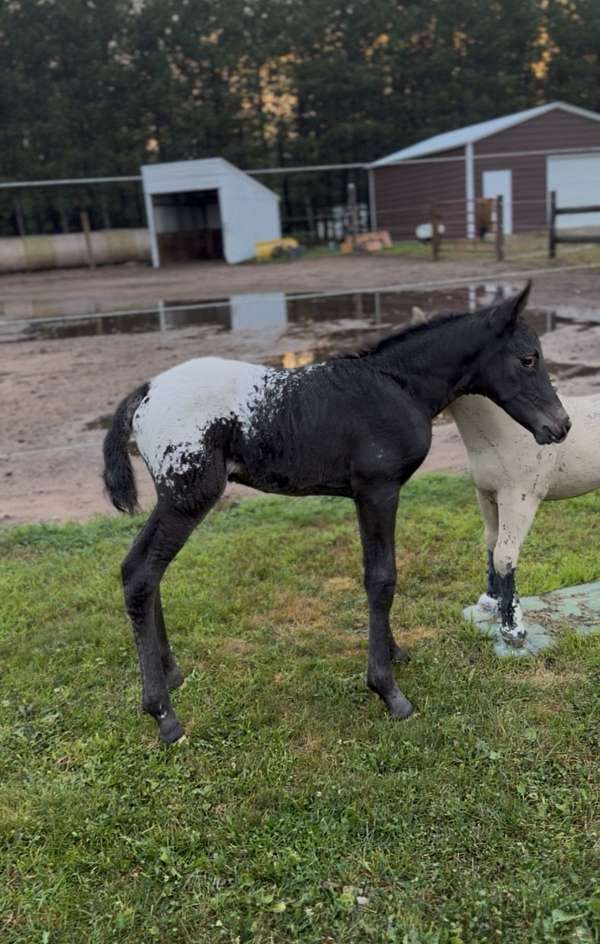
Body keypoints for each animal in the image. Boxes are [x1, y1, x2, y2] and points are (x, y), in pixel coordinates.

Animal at [103, 282, 570, 742]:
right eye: (528, 358)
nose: (561, 425)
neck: (399, 386)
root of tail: (145, 392)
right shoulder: (377, 490)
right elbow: (382, 578)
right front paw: (388, 690)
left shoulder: (367, 495)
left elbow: (376, 573)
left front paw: (394, 652)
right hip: (188, 497)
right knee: (141, 574)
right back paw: (163, 713)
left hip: (176, 499)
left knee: (143, 572)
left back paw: (171, 674)